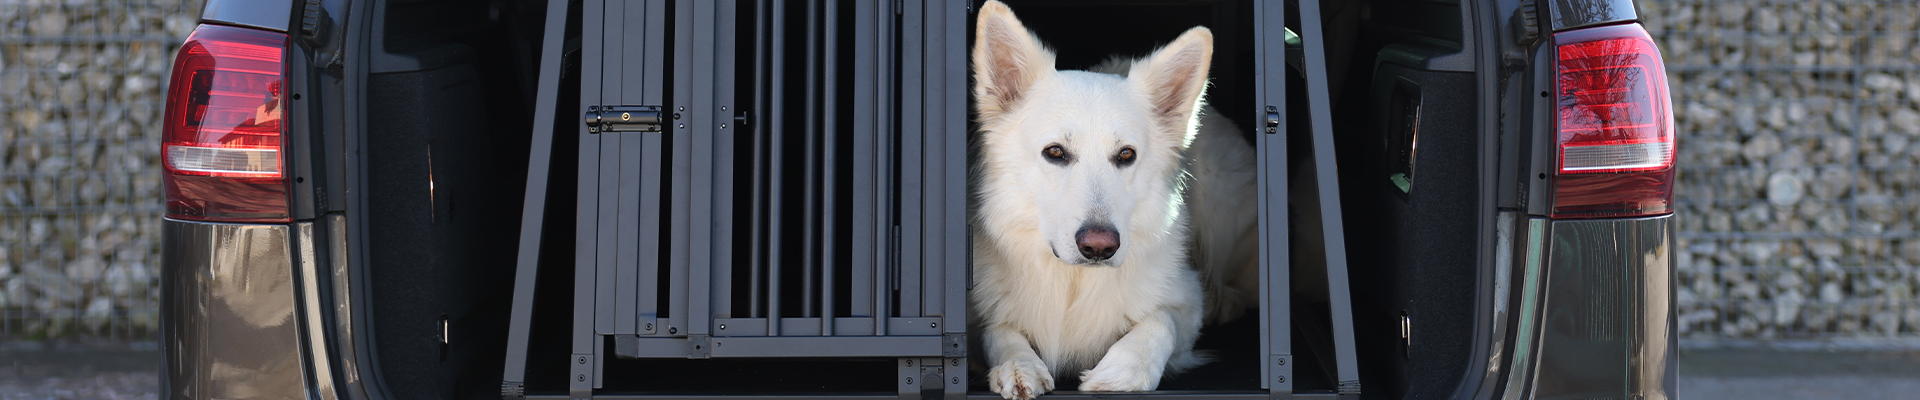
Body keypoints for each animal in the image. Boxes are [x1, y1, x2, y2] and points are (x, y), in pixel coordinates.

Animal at [975, 1, 1259, 398]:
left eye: (1126, 155)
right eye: (1055, 152)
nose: (1099, 247)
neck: (1074, 284)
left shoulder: (1185, 300)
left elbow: (1162, 321)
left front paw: (1124, 370)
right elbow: (997, 330)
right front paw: (1019, 365)